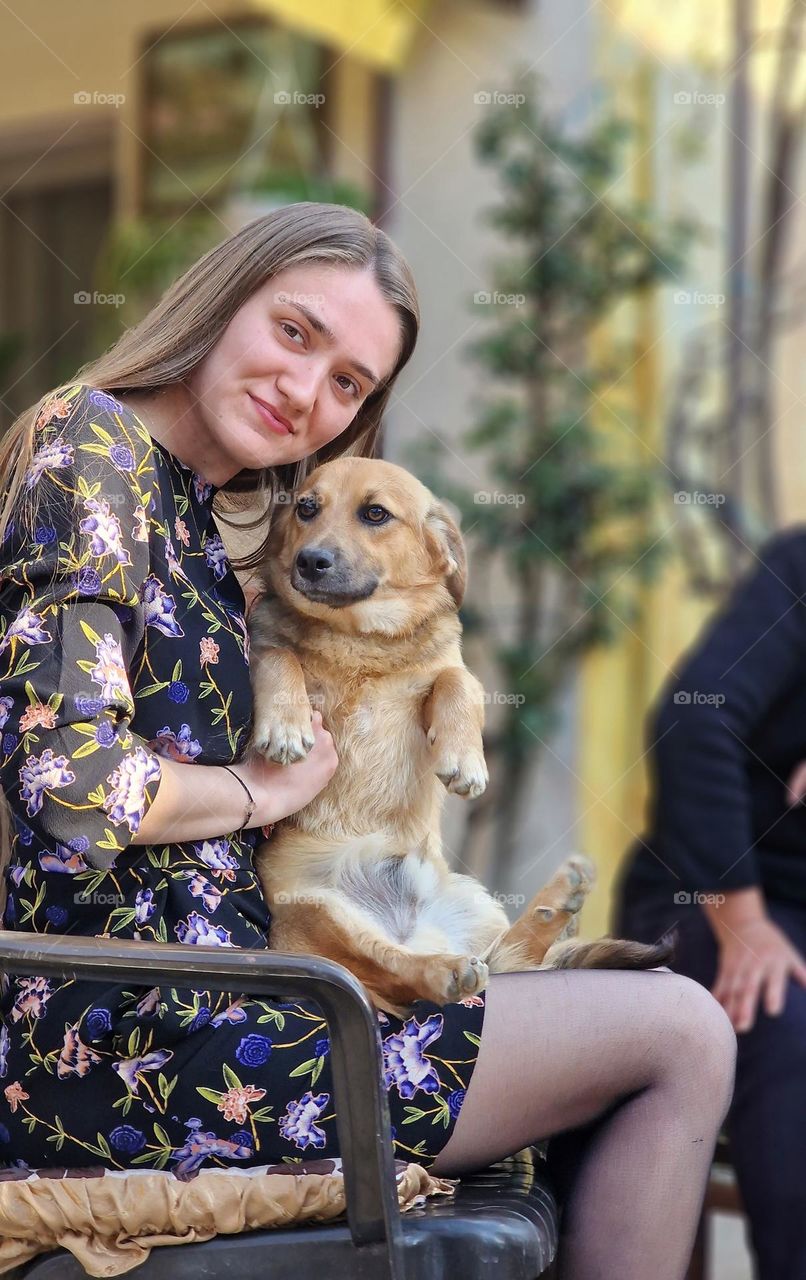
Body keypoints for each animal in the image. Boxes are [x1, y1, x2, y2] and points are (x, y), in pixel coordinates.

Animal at [248, 455, 675, 1013]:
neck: (358, 637)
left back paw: (555, 904)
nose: (309, 561)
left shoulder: (447, 672)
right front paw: (286, 725)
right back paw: (446, 970)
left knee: (507, 955)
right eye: (306, 508)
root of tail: (413, 931)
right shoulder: (267, 647)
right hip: (317, 913)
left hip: (476, 904)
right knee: (397, 974)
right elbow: (279, 655)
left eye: (375, 513)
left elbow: (457, 682)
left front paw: (466, 759)